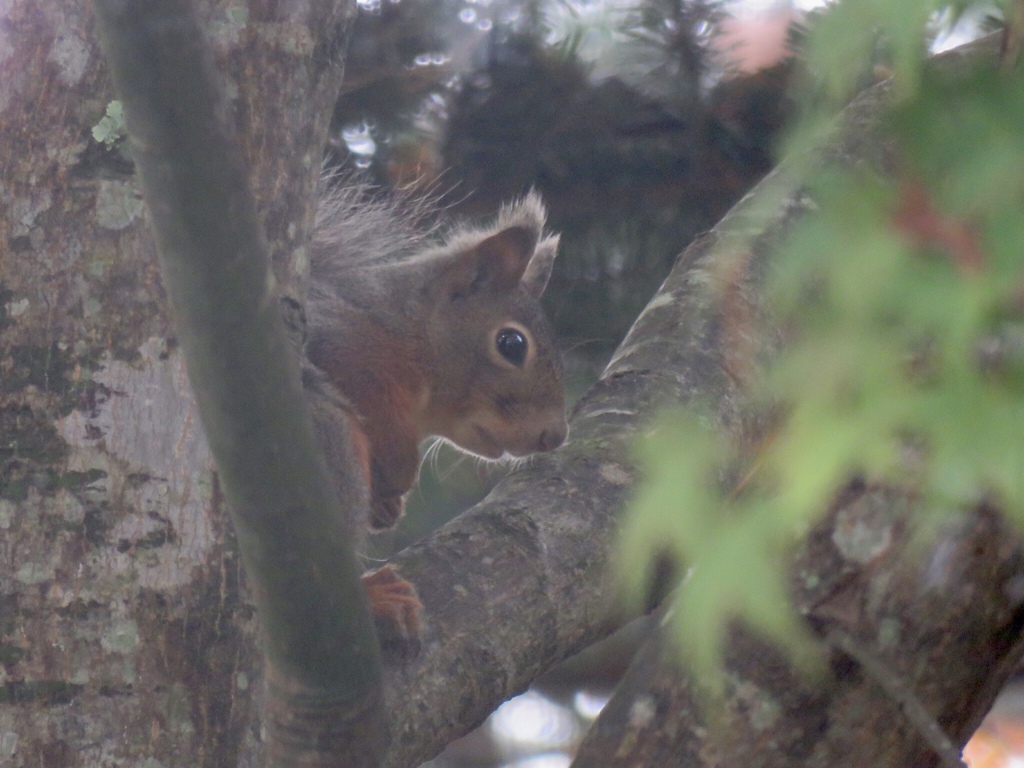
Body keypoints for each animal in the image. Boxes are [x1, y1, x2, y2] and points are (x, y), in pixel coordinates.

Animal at [299, 183, 569, 651]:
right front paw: (399, 470)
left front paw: (387, 506)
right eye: (512, 343)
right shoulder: (334, 333)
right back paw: (376, 600)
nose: (555, 435)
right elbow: (363, 392)